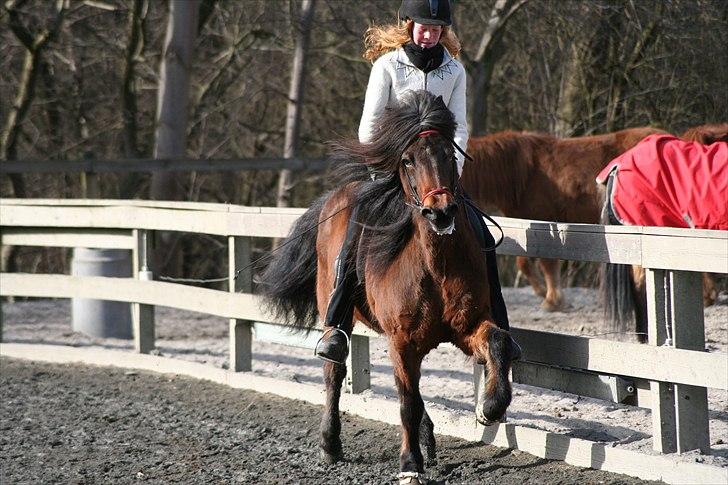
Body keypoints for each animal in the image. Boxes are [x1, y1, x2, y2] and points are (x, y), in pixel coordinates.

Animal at [258, 91, 520, 484]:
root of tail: (334, 199)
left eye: (448, 154)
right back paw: (330, 444)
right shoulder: (402, 341)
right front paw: (410, 465)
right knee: (335, 370)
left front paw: (489, 407)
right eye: (408, 160)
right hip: (336, 312)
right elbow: (406, 403)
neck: (436, 265)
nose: (441, 212)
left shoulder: (467, 327)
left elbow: (497, 342)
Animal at [460, 125, 664, 310]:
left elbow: (547, 264)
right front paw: (545, 293)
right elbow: (524, 263)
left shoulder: (543, 222)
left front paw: (552, 300)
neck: (523, 174)